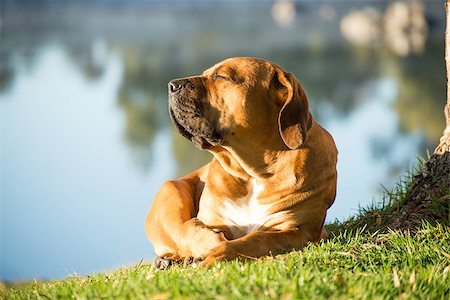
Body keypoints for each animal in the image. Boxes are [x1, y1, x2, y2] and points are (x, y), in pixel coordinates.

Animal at [145, 56, 338, 268]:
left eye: (221, 76)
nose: (172, 85)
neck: (252, 173)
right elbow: (190, 229)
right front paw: (208, 244)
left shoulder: (297, 230)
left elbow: (254, 240)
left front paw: (217, 251)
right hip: (171, 191)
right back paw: (167, 260)